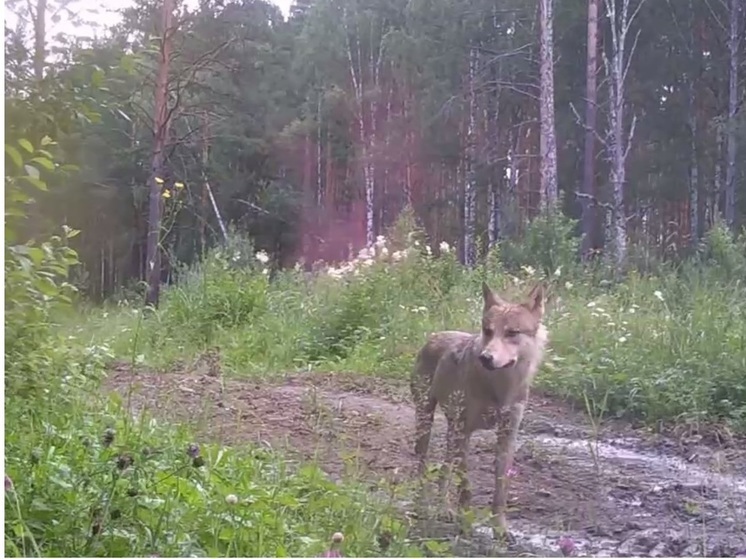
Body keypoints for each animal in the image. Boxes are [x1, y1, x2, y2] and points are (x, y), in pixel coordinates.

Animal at [406, 282, 548, 536]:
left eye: (512, 333)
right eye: (488, 331)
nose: (486, 357)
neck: (499, 388)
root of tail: (434, 335)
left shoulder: (507, 436)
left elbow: (500, 490)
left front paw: (499, 528)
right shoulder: (465, 433)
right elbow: (466, 486)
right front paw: (465, 521)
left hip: (452, 433)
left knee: (444, 470)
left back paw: (443, 509)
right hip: (427, 424)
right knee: (423, 466)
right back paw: (424, 505)